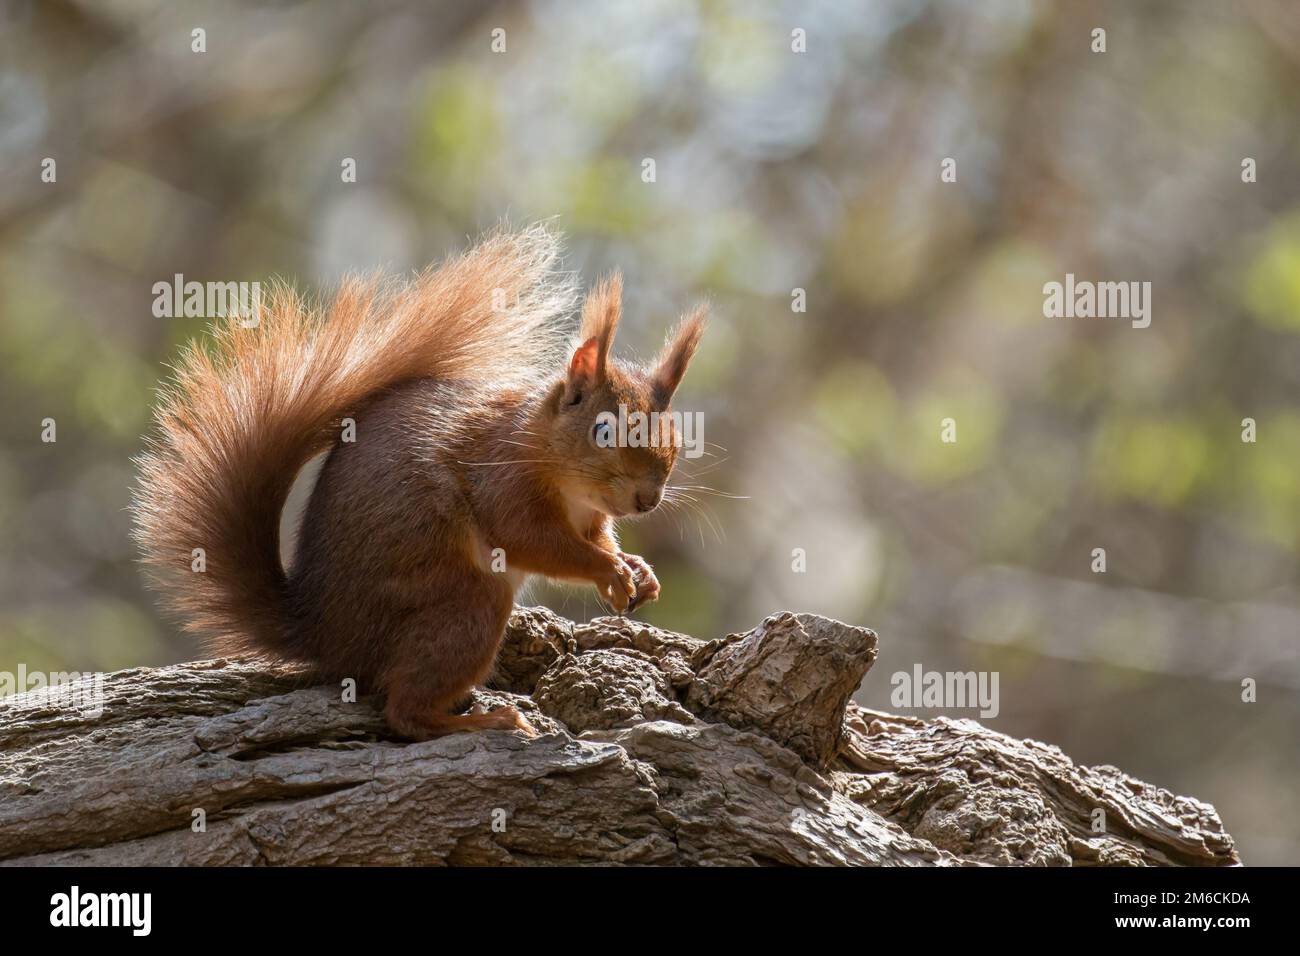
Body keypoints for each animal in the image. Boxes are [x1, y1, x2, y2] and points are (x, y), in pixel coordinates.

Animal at [133, 226, 707, 738]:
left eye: (676, 434)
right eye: (604, 430)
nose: (647, 499)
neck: (562, 474)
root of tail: (321, 633)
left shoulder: (592, 517)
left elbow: (597, 539)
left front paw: (637, 570)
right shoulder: (503, 481)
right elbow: (533, 540)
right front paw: (608, 570)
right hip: (462, 601)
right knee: (403, 712)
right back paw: (483, 721)